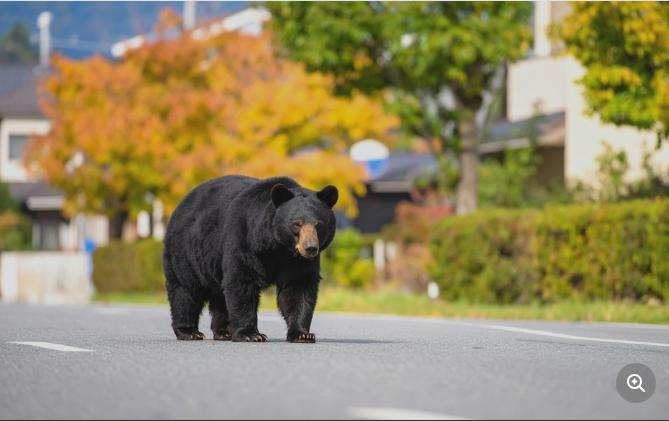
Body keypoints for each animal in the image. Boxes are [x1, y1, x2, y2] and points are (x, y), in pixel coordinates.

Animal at [163, 175, 338, 343]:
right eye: (297, 224)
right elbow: (242, 281)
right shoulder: (245, 240)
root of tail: (182, 202)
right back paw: (189, 332)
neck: (278, 247)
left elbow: (298, 288)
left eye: (319, 224)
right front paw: (251, 335)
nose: (310, 248)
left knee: (220, 296)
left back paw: (224, 332)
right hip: (186, 251)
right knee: (185, 290)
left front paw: (302, 334)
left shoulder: (297, 261)